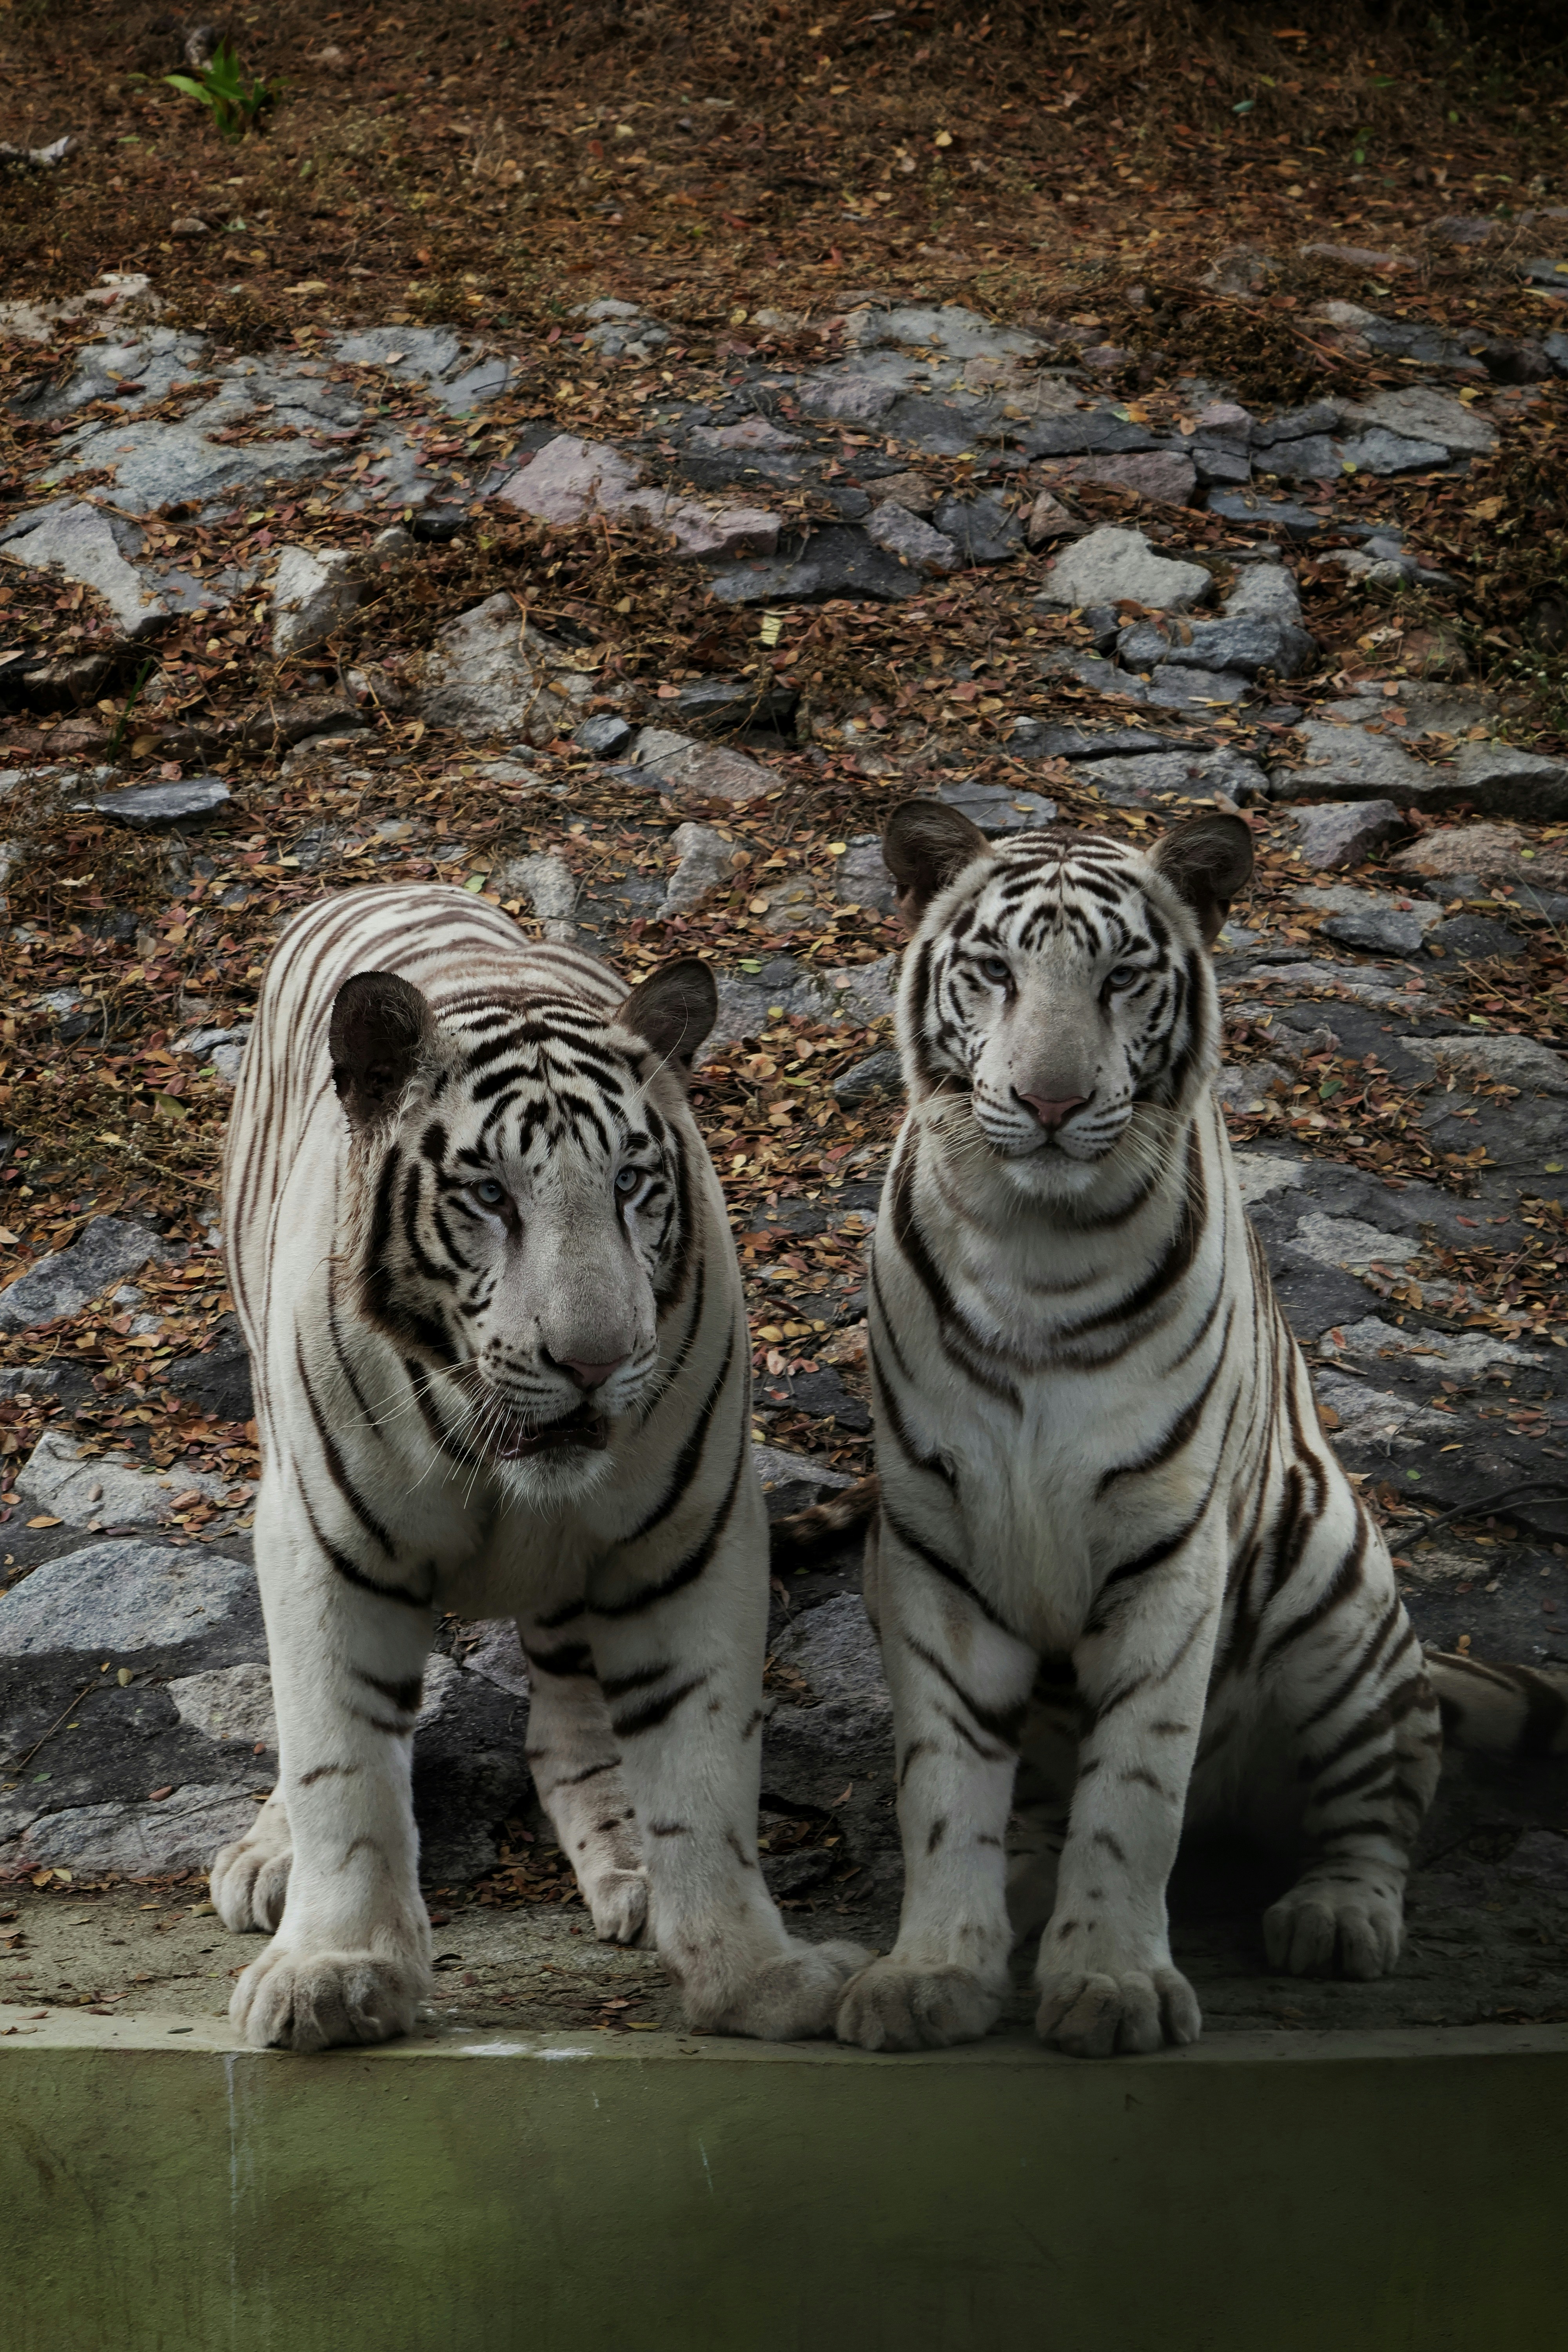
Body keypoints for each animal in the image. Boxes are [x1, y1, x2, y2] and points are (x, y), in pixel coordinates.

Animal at [211, 880, 865, 2053]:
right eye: (489, 1195)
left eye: (633, 1184)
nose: (596, 1360)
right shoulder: (326, 1541)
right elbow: (340, 1762)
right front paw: (337, 1970)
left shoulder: (689, 1538)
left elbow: (703, 1768)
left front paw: (754, 1977)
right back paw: (269, 1857)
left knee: (572, 1715)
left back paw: (627, 1859)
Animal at [828, 799, 1567, 2060]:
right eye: (995, 971)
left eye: (1122, 976)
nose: (1051, 1105)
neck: (1033, 1244)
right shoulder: (931, 1550)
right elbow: (943, 1786)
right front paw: (932, 1974)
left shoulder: (1170, 1548)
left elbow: (1133, 1793)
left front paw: (1110, 1985)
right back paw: (1025, 1881)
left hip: (1339, 1608)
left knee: (1381, 1807)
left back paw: (1335, 1917)